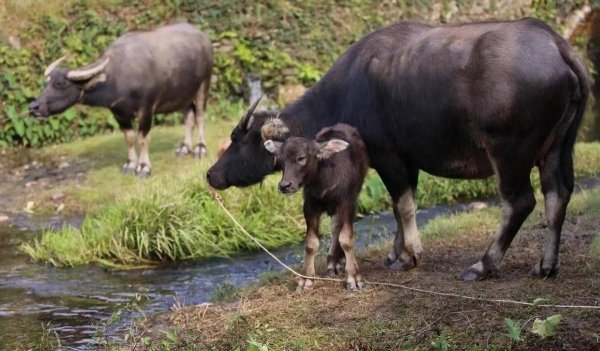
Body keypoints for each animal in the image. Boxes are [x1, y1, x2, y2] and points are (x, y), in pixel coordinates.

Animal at [30, 22, 214, 176]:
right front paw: (130, 164)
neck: (117, 78)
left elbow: (143, 138)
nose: (33, 107)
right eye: (45, 84)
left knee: (200, 116)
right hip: (183, 94)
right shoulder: (119, 112)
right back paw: (184, 148)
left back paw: (200, 149)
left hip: (203, 85)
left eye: (60, 83)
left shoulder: (147, 109)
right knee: (189, 117)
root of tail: (204, 39)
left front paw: (143, 167)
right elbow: (129, 138)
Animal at [207, 18, 592, 284]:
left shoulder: (388, 157)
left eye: (239, 139)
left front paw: (409, 256)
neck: (347, 89)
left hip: (509, 153)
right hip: (559, 147)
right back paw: (546, 265)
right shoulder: (407, 161)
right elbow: (397, 208)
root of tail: (558, 47)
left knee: (520, 202)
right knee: (558, 195)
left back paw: (482, 265)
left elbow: (402, 206)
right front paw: (395, 253)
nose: (211, 174)